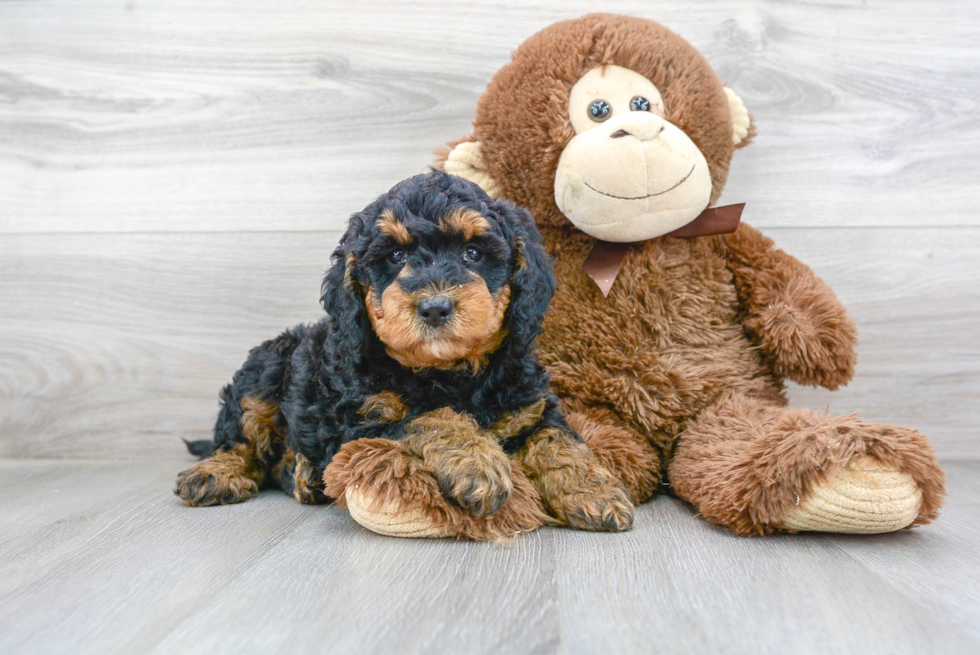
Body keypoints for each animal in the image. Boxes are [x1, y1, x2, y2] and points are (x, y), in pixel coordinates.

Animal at [176, 170, 636, 532]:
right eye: (396, 255)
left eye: (472, 252)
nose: (435, 306)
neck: (448, 371)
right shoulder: (366, 417)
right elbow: (433, 417)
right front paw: (478, 465)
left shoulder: (530, 407)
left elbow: (558, 441)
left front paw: (593, 492)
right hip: (266, 367)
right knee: (239, 437)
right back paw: (216, 473)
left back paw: (301, 473)